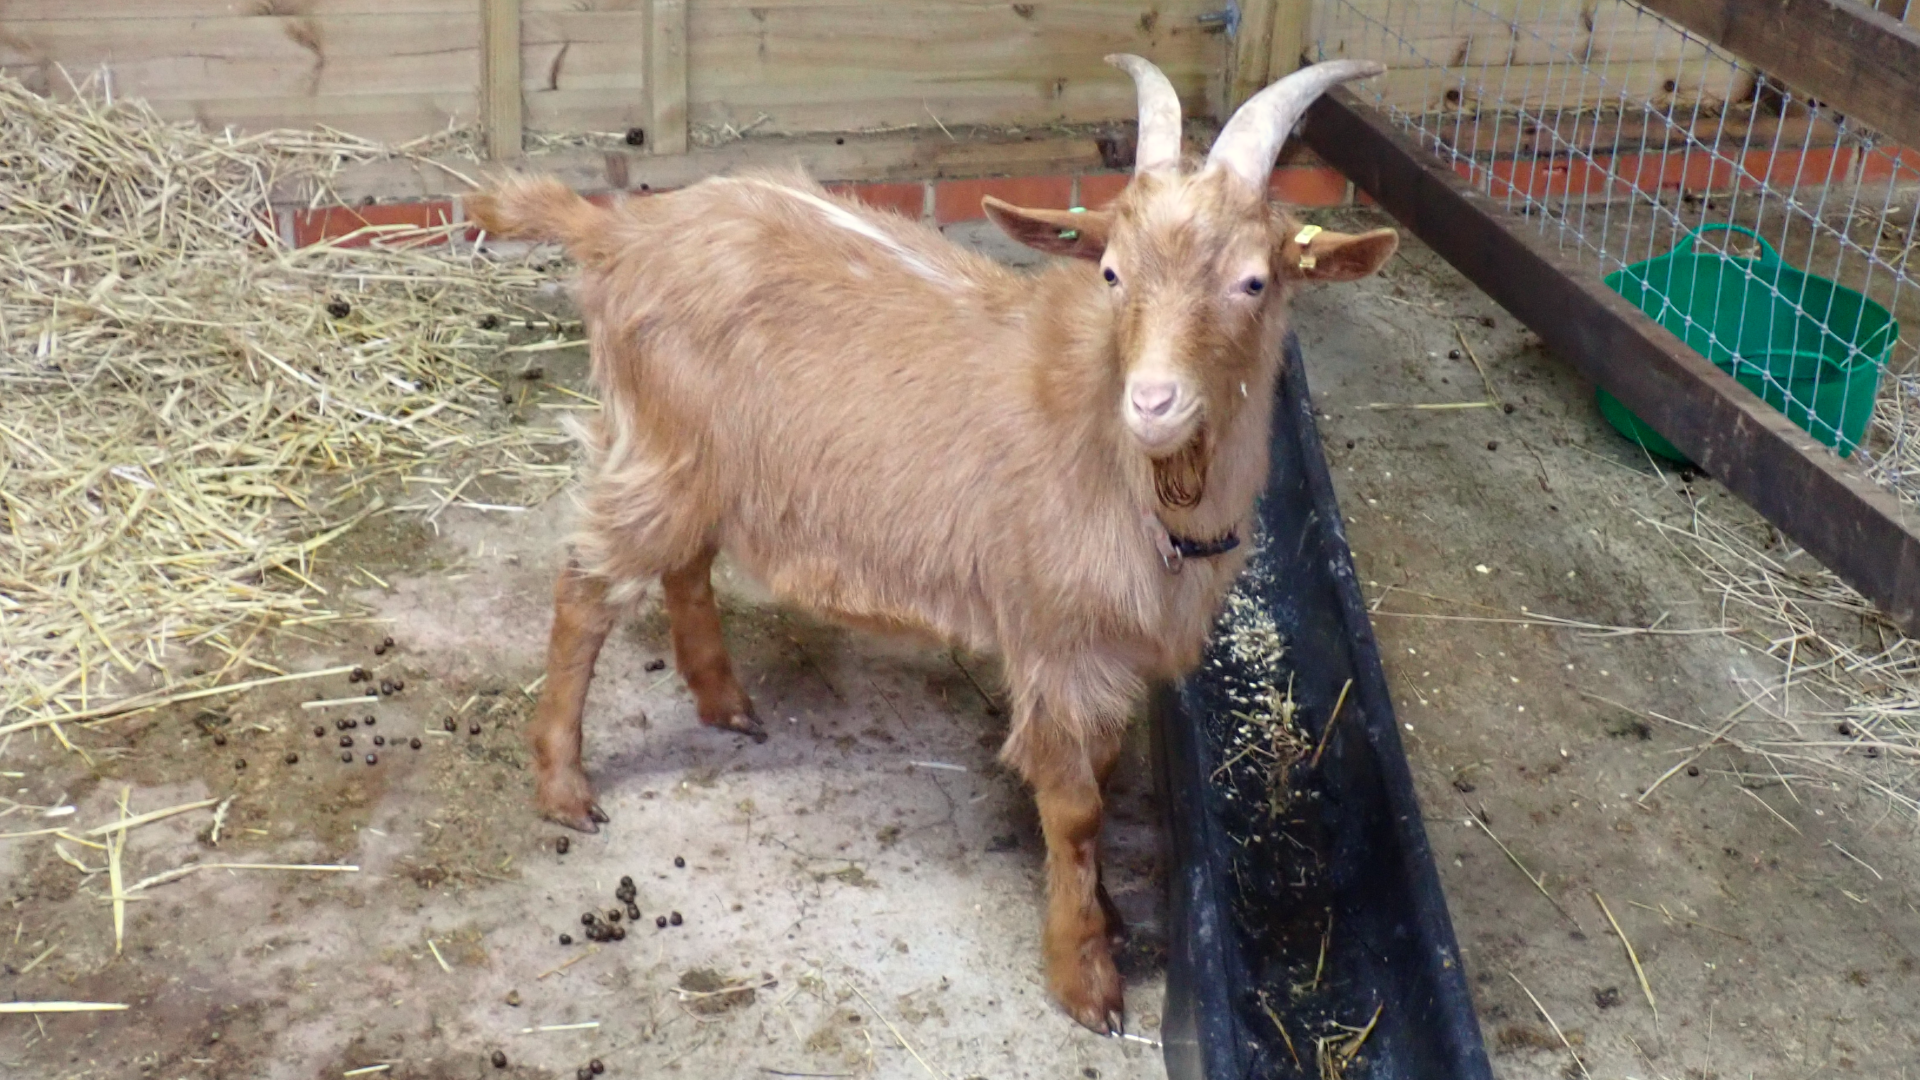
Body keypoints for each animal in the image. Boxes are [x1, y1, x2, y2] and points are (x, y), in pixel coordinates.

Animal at [463, 55, 1397, 1033]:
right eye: (1110, 272)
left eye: (1254, 282)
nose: (1152, 402)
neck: (1120, 459)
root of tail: (621, 231)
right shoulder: (1053, 636)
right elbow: (1076, 808)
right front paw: (1085, 975)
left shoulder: (1107, 649)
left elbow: (1102, 777)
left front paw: (1103, 912)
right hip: (660, 451)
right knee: (585, 587)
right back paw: (564, 785)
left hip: (706, 462)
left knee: (683, 565)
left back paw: (724, 701)